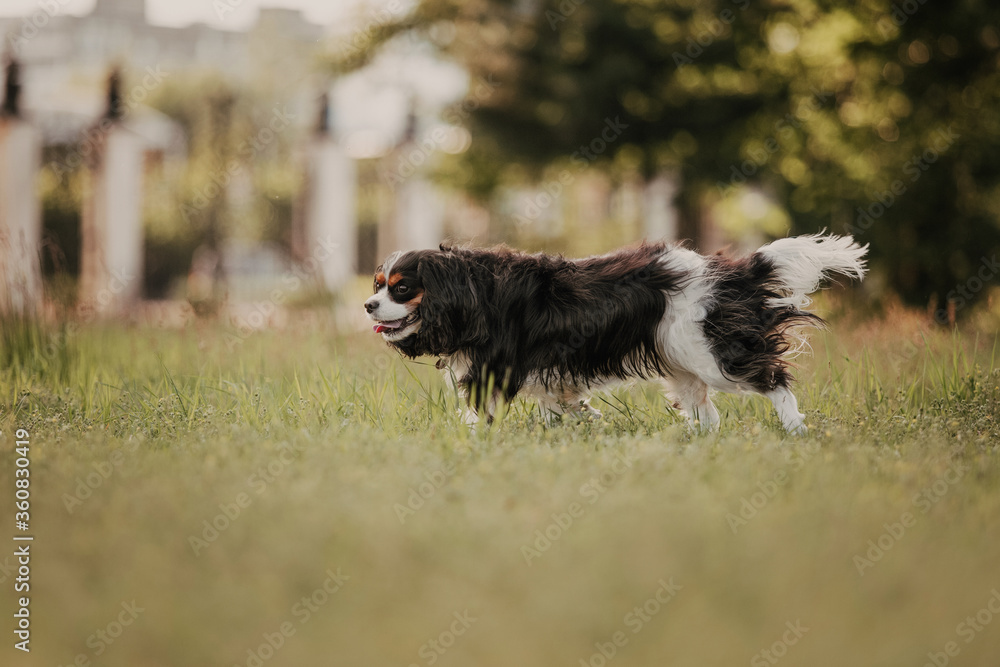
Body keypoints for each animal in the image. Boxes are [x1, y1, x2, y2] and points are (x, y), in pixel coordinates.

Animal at [364, 235, 864, 434]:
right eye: (377, 284)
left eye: (401, 288)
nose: (368, 305)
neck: (469, 290)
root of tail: (729, 271)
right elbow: (560, 405)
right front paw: (576, 425)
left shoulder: (494, 370)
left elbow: (479, 414)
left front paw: (471, 440)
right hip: (682, 363)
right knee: (706, 411)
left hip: (712, 355)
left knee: (773, 379)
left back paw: (795, 428)